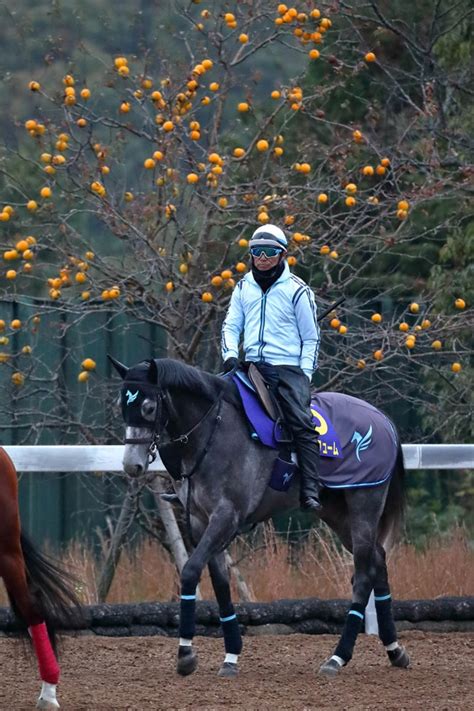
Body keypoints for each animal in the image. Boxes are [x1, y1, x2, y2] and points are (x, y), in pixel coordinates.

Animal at [110, 356, 408, 680]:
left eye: (148, 407)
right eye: (121, 405)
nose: (131, 465)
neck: (213, 432)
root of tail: (383, 419)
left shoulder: (226, 516)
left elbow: (190, 572)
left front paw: (186, 653)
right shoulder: (202, 522)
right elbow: (221, 584)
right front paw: (230, 655)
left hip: (364, 503)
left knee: (364, 575)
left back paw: (337, 657)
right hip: (338, 513)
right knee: (377, 561)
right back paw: (395, 650)